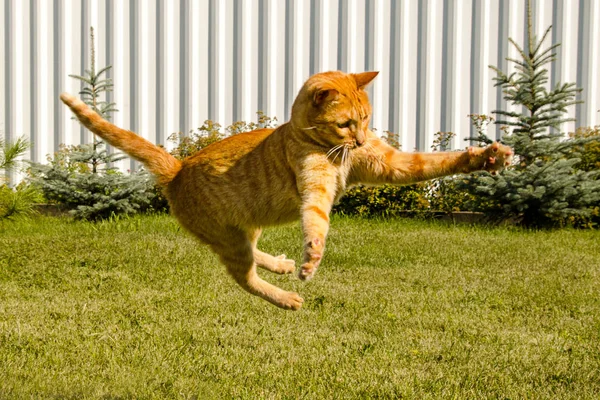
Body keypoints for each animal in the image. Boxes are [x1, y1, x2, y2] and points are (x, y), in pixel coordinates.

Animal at [59, 71, 510, 310]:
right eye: (347, 124)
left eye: (366, 119)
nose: (361, 141)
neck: (317, 142)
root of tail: (178, 168)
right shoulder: (315, 189)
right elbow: (316, 223)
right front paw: (312, 260)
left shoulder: (391, 164)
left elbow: (436, 162)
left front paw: (488, 157)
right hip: (229, 239)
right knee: (242, 276)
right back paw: (287, 296)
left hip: (246, 226)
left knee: (252, 253)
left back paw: (279, 265)